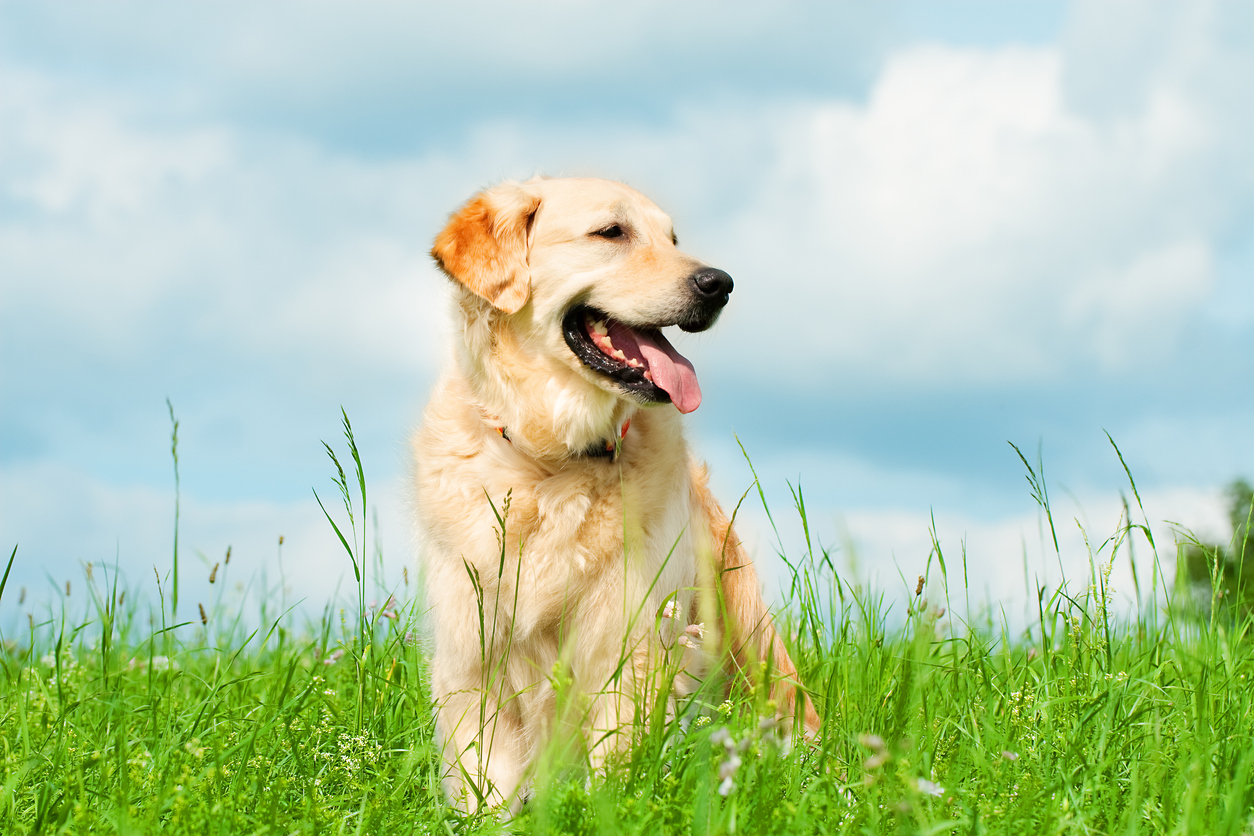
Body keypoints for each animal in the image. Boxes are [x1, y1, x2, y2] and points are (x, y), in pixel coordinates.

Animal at [413, 177, 822, 812]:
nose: (720, 283)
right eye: (611, 232)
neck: (551, 463)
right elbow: (487, 779)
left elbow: (615, 762)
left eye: (673, 239)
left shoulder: (628, 646)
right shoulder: (472, 655)